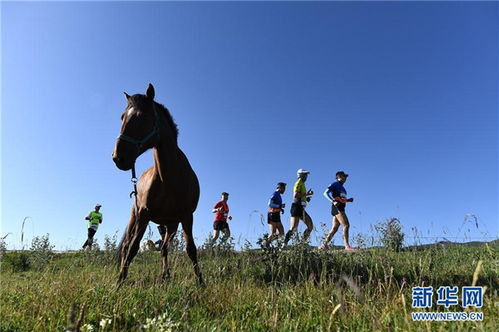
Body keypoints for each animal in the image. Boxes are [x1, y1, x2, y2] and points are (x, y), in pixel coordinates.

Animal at [112, 83, 203, 286]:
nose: (118, 157)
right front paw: (119, 283)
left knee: (164, 248)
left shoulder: (186, 216)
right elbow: (133, 248)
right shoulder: (144, 214)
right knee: (127, 245)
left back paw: (165, 275)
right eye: (122, 117)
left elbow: (191, 249)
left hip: (171, 226)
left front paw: (201, 281)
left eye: (141, 117)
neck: (170, 178)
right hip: (135, 216)